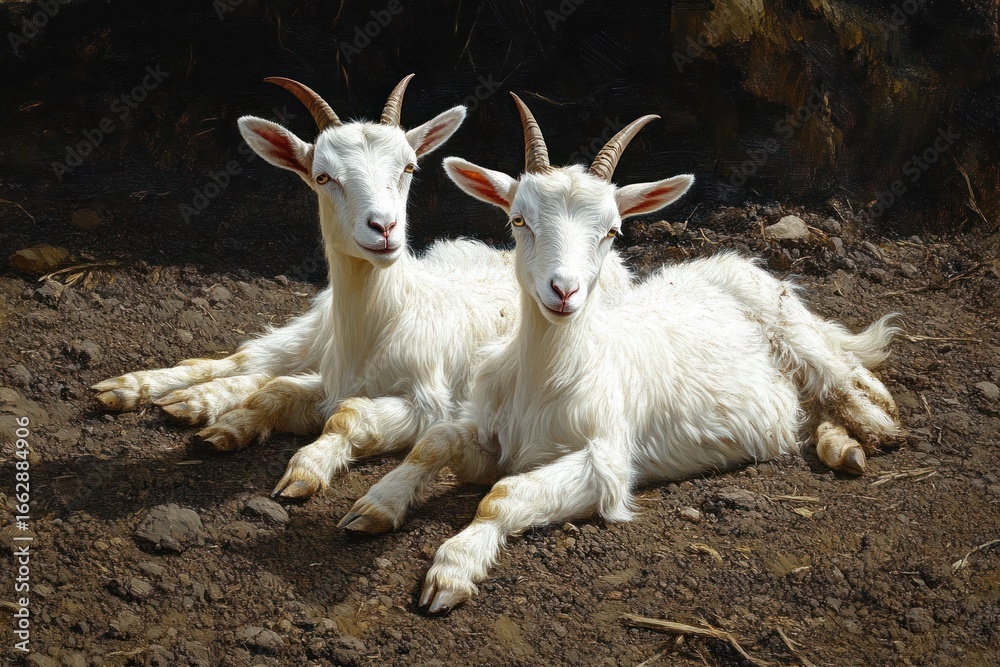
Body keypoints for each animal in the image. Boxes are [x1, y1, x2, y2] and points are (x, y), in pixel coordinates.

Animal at [340, 94, 901, 612]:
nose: (563, 291)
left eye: (611, 231)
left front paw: (452, 571)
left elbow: (502, 495)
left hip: (791, 328)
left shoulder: (606, 463)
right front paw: (373, 505)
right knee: (814, 407)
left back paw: (877, 427)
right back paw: (841, 446)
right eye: (519, 220)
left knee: (842, 382)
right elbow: (433, 442)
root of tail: (727, 262)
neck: (547, 380)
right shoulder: (491, 436)